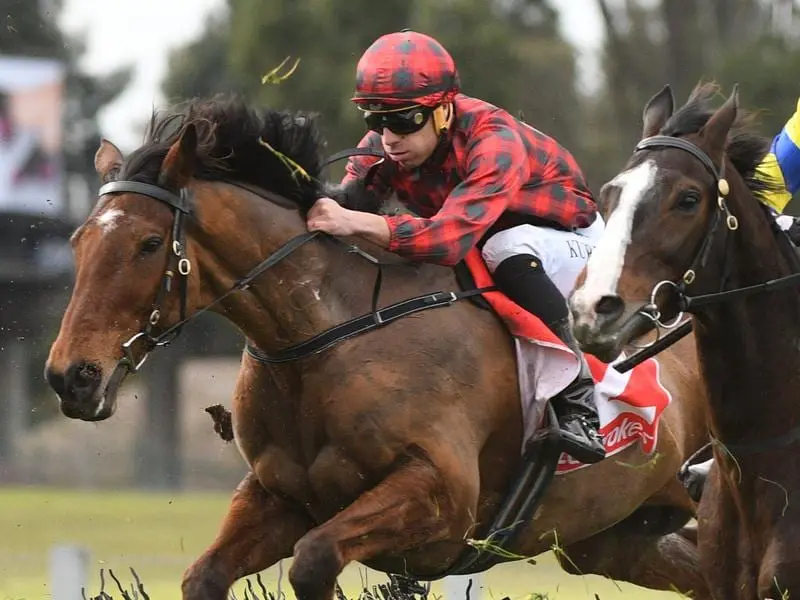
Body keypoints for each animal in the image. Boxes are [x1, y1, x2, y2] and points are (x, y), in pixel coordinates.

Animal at [47, 96, 712, 600]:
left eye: (148, 244)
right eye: (78, 242)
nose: (71, 377)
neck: (326, 333)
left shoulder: (439, 495)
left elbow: (314, 560)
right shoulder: (279, 495)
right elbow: (205, 576)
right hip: (613, 536)